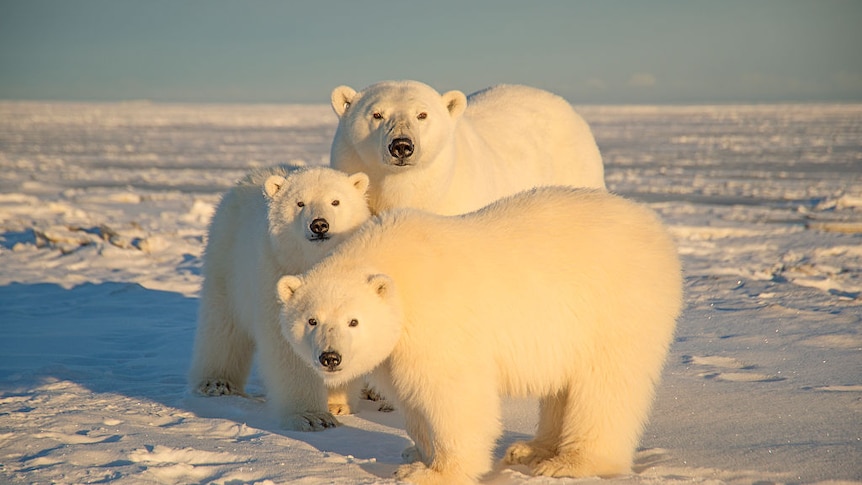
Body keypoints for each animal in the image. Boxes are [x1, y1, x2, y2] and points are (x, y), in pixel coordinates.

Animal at [189, 164, 372, 430]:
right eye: (300, 203)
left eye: (336, 201)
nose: (319, 225)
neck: (312, 262)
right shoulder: (278, 272)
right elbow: (288, 345)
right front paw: (311, 416)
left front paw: (336, 402)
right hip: (228, 259)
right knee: (223, 324)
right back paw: (216, 382)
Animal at [276, 186, 680, 484]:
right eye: (312, 320)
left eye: (354, 321)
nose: (330, 357)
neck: (398, 268)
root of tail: (658, 230)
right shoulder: (398, 346)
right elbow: (411, 397)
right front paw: (415, 453)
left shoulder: (437, 320)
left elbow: (452, 394)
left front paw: (433, 472)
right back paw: (532, 449)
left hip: (615, 306)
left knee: (605, 385)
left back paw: (570, 462)